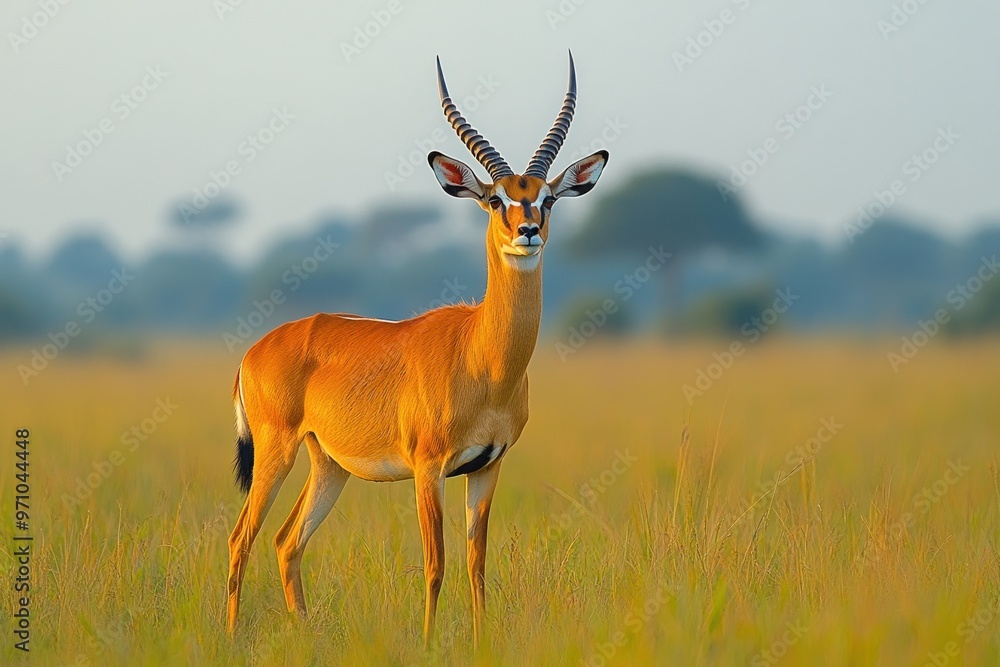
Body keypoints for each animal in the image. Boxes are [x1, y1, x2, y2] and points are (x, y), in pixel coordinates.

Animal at [227, 53, 608, 652]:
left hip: (327, 464)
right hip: (275, 451)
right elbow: (436, 564)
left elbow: (477, 565)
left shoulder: (488, 466)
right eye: (495, 198)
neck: (482, 357)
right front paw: (429, 644)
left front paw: (480, 642)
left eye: (546, 198)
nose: (527, 231)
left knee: (287, 542)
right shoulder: (429, 468)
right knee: (241, 538)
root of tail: (256, 350)